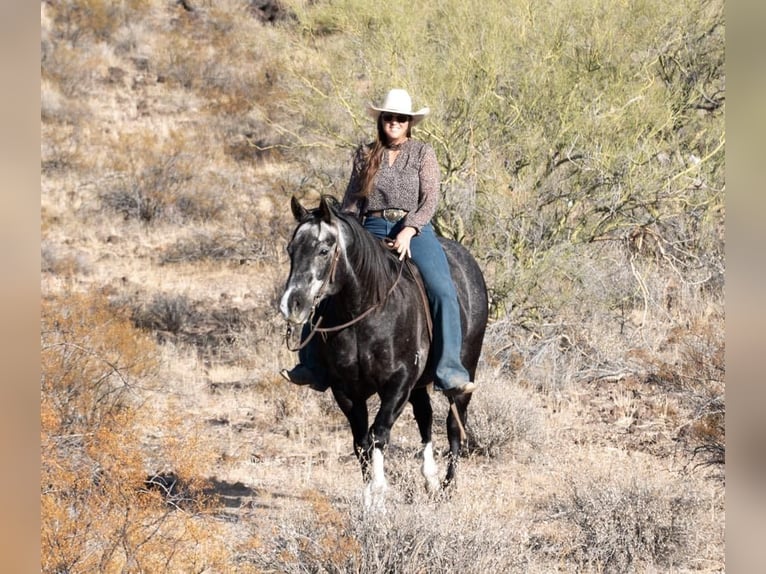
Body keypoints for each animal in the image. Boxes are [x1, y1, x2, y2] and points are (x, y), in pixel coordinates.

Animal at [280, 197, 488, 508]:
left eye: (323, 250)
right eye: (291, 249)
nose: (292, 304)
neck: (366, 310)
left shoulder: (397, 384)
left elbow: (378, 434)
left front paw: (379, 492)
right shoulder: (346, 390)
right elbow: (361, 442)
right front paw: (370, 500)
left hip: (463, 374)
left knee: (454, 426)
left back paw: (448, 488)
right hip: (418, 385)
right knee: (425, 416)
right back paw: (430, 480)